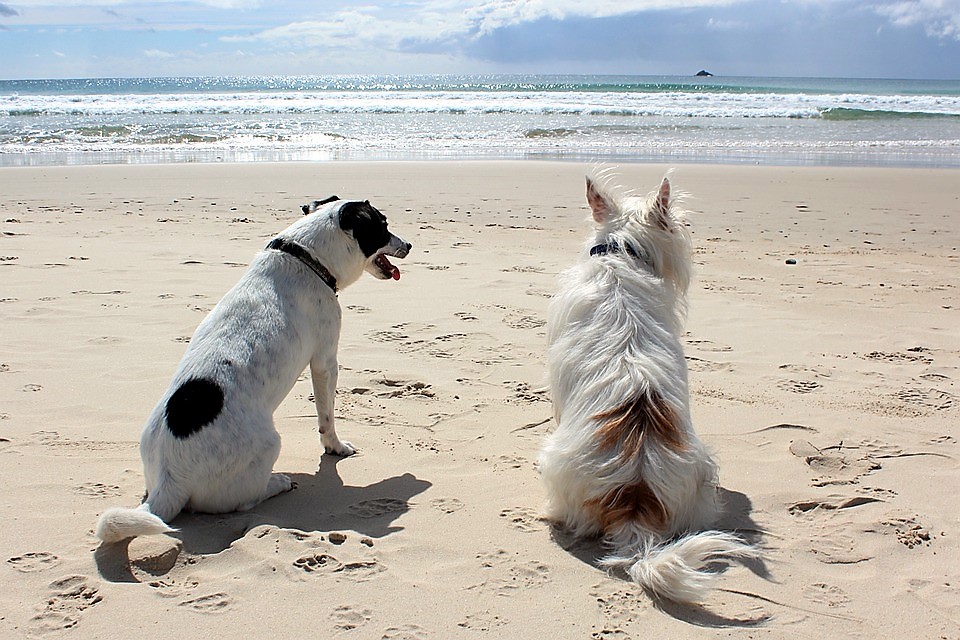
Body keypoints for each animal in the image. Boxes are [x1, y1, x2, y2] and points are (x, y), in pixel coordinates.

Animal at [95, 198, 410, 544]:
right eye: (382, 225)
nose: (409, 245)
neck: (306, 257)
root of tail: (169, 480)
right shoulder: (325, 361)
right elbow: (327, 419)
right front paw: (336, 448)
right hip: (270, 444)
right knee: (245, 500)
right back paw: (278, 483)